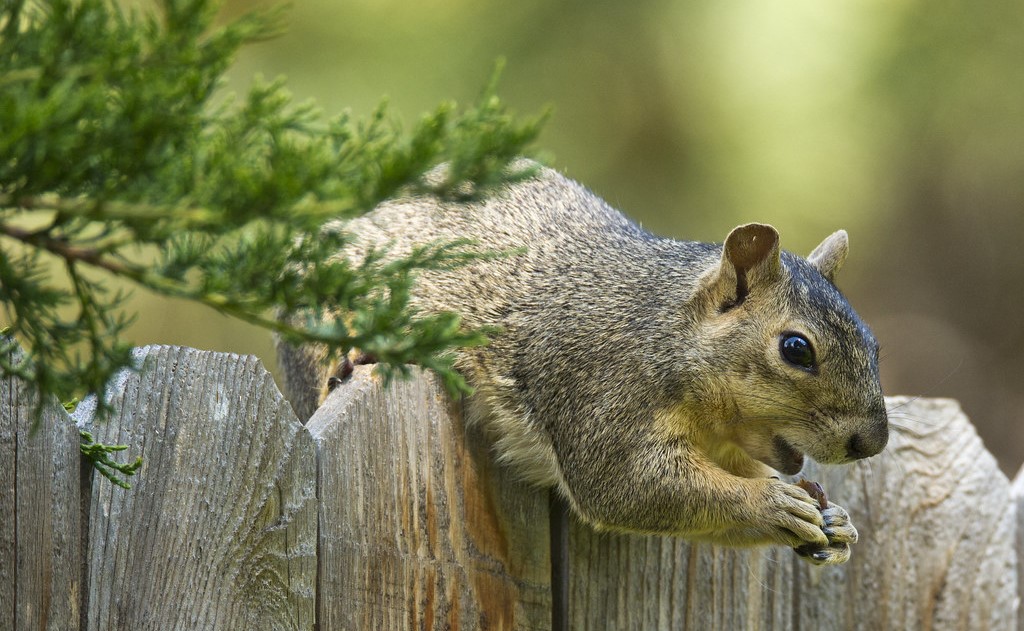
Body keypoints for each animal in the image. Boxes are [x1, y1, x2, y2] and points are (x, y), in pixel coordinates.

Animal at [278, 161, 888, 561]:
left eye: (875, 345)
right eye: (796, 349)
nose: (872, 442)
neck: (662, 332)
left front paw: (834, 522)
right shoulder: (599, 391)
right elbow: (628, 488)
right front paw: (771, 504)